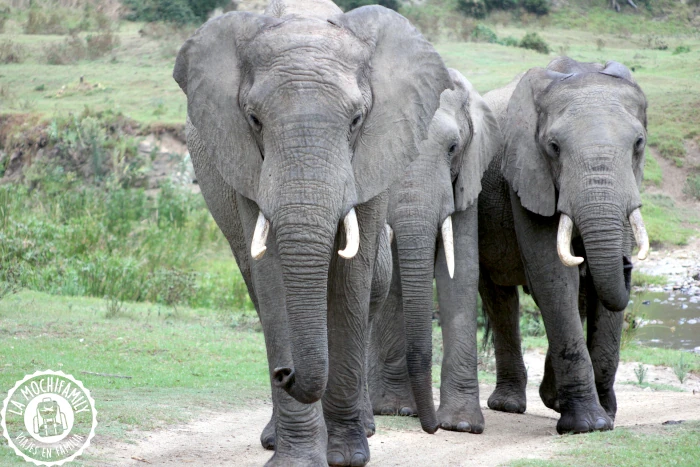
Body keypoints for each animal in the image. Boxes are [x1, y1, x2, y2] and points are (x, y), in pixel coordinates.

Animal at [173, 0, 454, 464]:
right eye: (254, 120)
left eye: (356, 120)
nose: (284, 373)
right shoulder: (246, 167)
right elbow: (271, 280)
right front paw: (297, 459)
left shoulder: (373, 156)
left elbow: (351, 278)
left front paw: (347, 456)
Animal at [366, 69, 501, 434]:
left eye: (453, 147)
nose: (433, 427)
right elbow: (393, 275)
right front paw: (396, 409)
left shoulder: (468, 178)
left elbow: (461, 272)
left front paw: (462, 425)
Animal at [477, 57, 650, 434]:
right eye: (554, 147)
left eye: (639, 143)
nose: (628, 264)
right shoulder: (528, 174)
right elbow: (554, 276)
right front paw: (588, 425)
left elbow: (593, 293)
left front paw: (606, 416)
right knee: (499, 297)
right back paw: (509, 405)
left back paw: (551, 399)